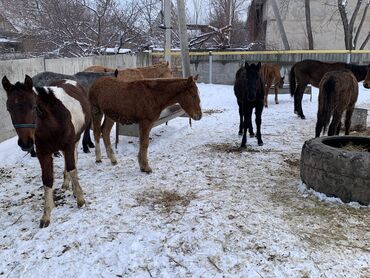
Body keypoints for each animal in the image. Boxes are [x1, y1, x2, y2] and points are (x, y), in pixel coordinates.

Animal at [1, 74, 90, 228]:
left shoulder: (68, 145)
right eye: (9, 108)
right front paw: (46, 215)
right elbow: (47, 180)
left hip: (76, 140)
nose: (26, 143)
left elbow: (72, 168)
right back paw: (66, 185)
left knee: (74, 160)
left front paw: (80, 199)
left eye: (33, 106)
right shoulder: (43, 154)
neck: (52, 125)